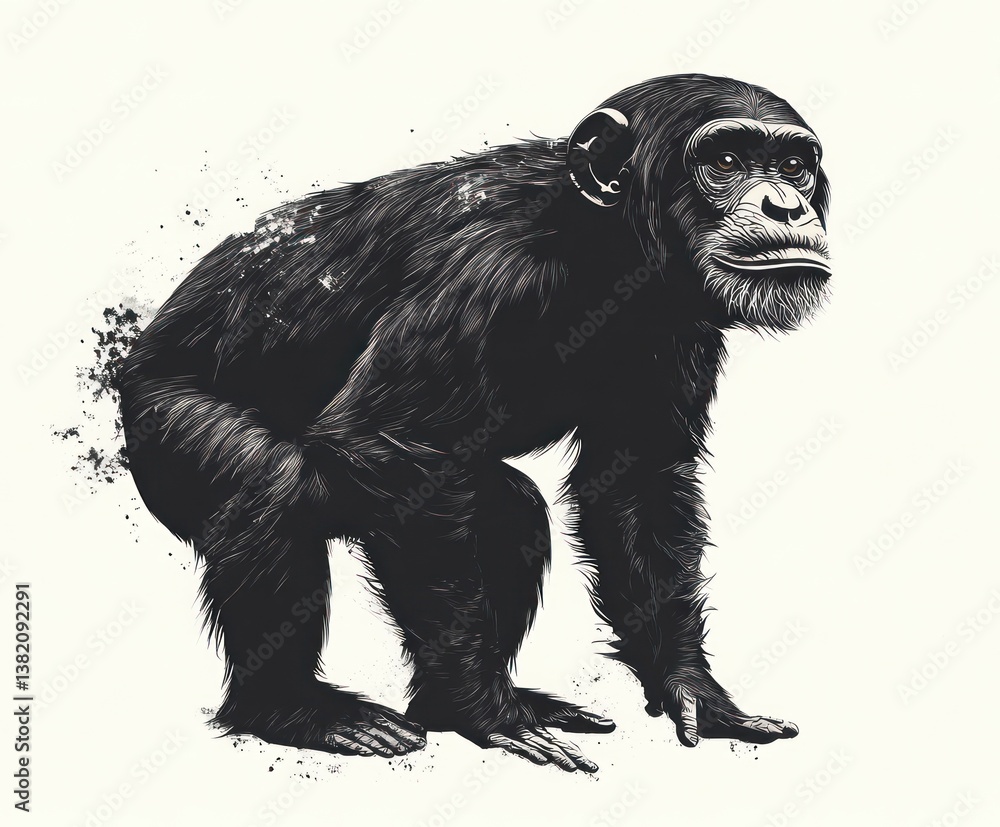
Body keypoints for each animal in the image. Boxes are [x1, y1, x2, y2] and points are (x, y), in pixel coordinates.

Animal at [121, 73, 830, 772]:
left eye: (793, 166)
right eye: (726, 161)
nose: (786, 206)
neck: (602, 243)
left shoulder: (682, 328)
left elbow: (637, 485)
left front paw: (692, 689)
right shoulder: (486, 278)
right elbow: (389, 439)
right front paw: (483, 713)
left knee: (509, 512)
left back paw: (461, 703)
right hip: (163, 418)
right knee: (272, 486)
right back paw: (297, 710)